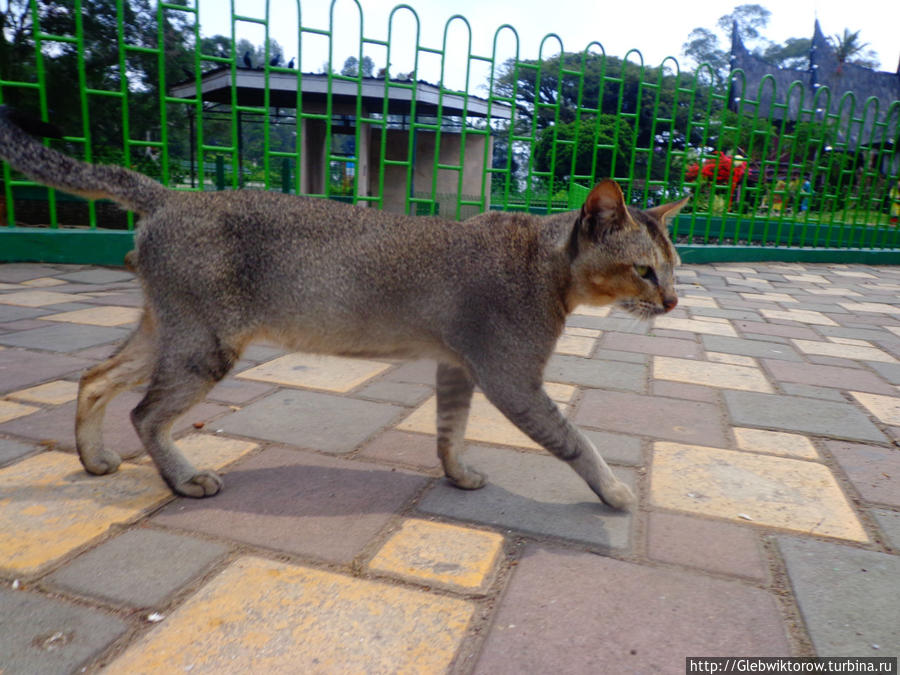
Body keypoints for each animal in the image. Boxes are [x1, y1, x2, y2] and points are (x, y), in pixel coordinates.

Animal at [1, 107, 688, 512]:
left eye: (675, 267)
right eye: (644, 270)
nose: (675, 299)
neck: (543, 263)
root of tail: (172, 195)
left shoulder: (457, 368)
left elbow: (449, 431)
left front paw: (457, 474)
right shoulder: (512, 379)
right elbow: (576, 441)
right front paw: (615, 491)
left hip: (168, 332)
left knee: (94, 378)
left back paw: (93, 460)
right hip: (204, 346)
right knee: (144, 413)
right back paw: (184, 479)